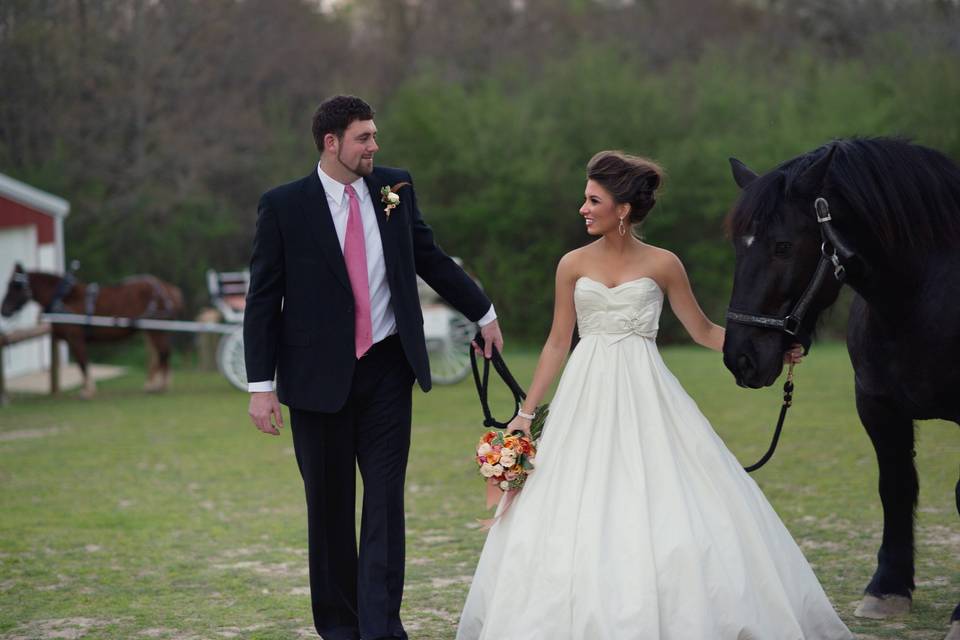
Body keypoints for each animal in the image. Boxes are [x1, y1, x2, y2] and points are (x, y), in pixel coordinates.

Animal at [1, 264, 184, 396]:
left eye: (14, 285)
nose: (4, 310)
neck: (65, 298)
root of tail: (168, 288)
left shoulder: (75, 337)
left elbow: (82, 362)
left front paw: (88, 390)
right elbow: (82, 362)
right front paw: (87, 387)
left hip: (155, 329)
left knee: (163, 353)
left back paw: (158, 385)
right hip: (153, 329)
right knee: (160, 355)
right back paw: (156, 384)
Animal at [720, 138, 960, 636]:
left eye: (783, 246)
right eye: (737, 245)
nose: (741, 357)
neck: (921, 297)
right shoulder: (877, 407)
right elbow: (895, 487)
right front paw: (886, 590)